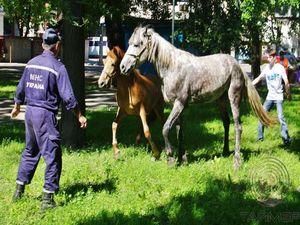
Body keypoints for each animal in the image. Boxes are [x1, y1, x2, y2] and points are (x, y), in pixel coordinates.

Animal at [119, 25, 274, 169]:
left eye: (137, 44)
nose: (123, 67)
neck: (172, 67)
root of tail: (237, 65)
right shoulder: (178, 106)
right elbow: (179, 131)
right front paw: (182, 159)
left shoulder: (179, 104)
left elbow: (166, 128)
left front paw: (170, 157)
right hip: (220, 101)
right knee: (226, 123)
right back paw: (225, 151)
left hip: (233, 98)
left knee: (238, 126)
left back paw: (236, 161)